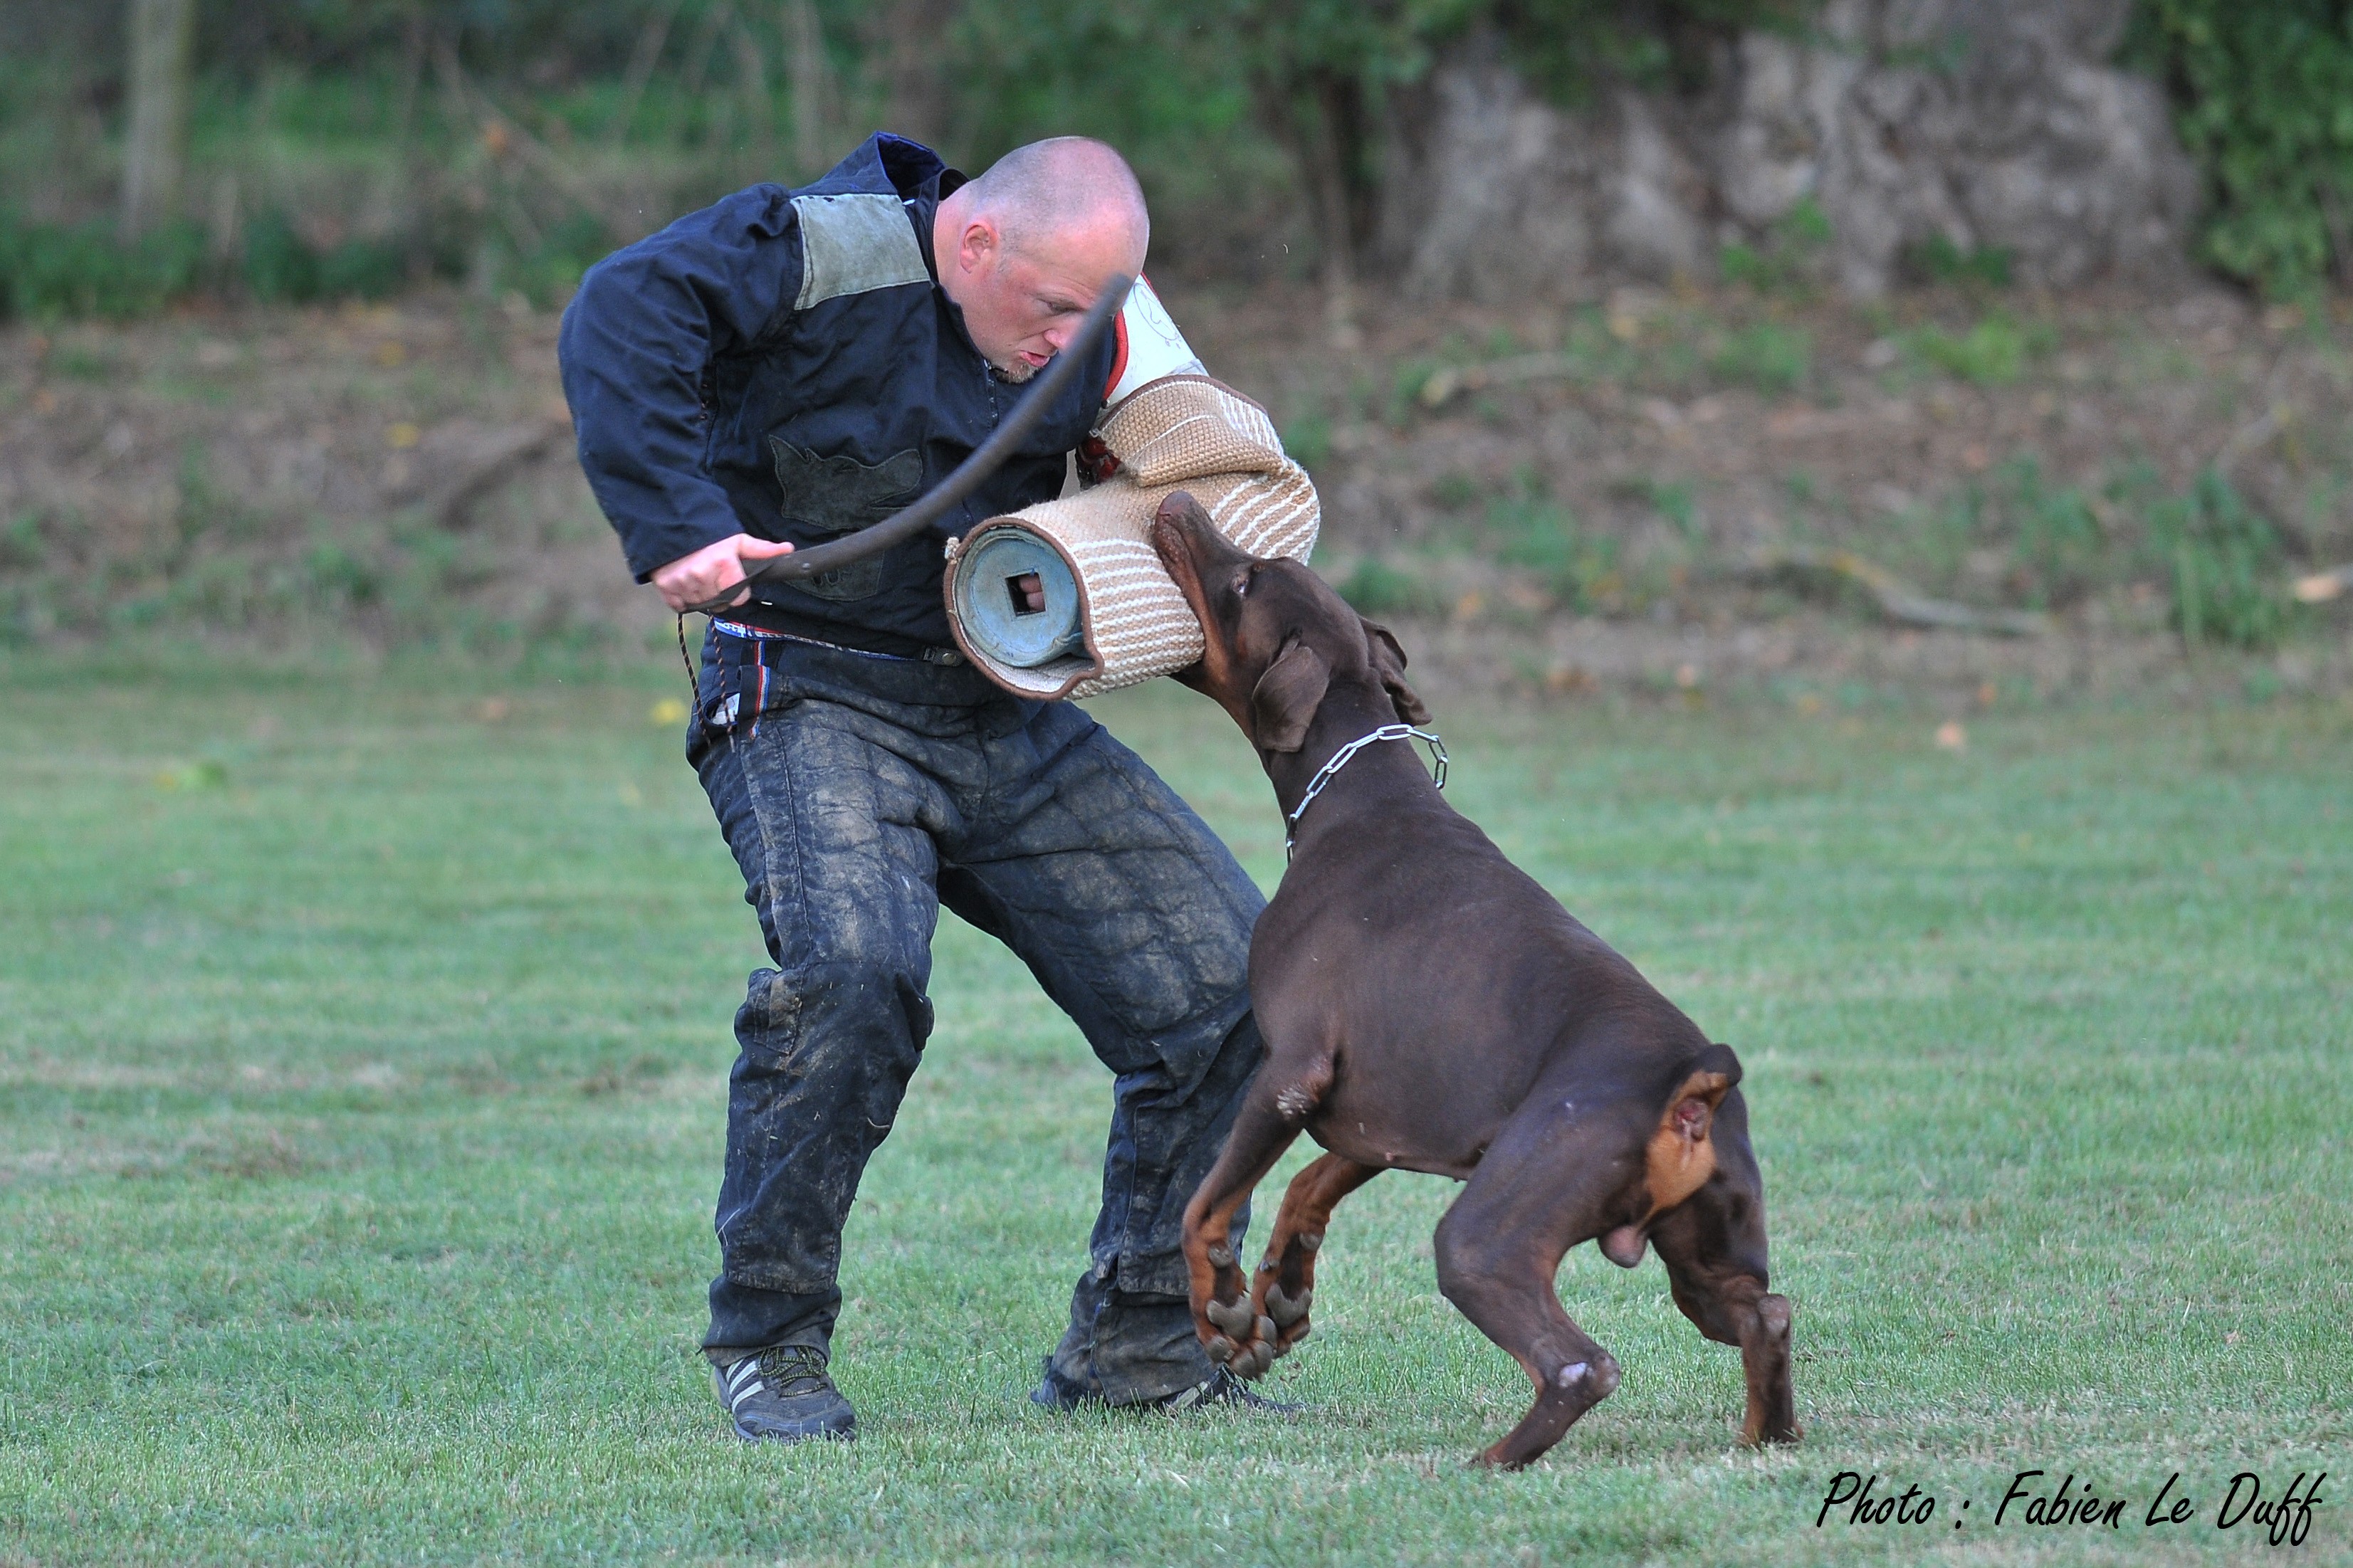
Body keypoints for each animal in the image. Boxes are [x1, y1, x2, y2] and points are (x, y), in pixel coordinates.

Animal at [1148, 493, 1788, 1476]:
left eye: (1247, 578)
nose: (1176, 503)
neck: (1356, 794)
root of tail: (1695, 1081)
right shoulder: (1384, 1110)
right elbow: (1309, 1187)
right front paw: (1282, 1294)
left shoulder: (1289, 1071)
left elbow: (1204, 1205)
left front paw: (1222, 1314)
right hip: (1707, 1248)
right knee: (1764, 1312)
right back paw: (1765, 1439)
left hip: (1486, 1236)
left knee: (1580, 1363)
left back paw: (1493, 1460)